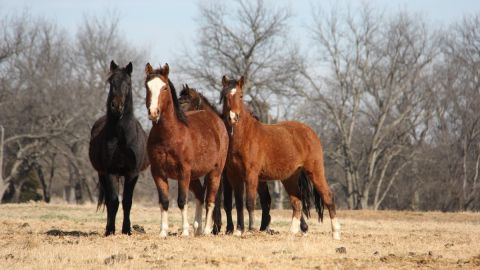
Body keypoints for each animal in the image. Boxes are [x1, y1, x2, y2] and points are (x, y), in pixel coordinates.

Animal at [89, 60, 149, 236]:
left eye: (127, 83)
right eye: (111, 82)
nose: (116, 106)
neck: (122, 137)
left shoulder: (132, 173)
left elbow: (127, 202)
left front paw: (127, 230)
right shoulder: (110, 172)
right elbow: (113, 201)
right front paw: (110, 230)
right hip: (102, 174)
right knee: (109, 201)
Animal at [143, 63, 228, 236]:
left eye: (164, 88)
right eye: (147, 86)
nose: (153, 112)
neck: (169, 135)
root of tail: (218, 121)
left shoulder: (183, 172)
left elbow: (182, 201)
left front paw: (184, 232)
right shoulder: (158, 173)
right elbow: (164, 201)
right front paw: (163, 232)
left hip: (215, 172)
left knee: (210, 199)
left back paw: (207, 230)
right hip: (194, 175)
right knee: (200, 194)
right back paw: (198, 228)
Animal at [219, 75, 340, 238]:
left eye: (241, 95)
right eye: (225, 96)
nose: (232, 117)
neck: (245, 136)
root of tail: (310, 132)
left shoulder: (251, 174)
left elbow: (249, 202)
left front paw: (251, 229)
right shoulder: (234, 176)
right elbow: (238, 203)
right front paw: (238, 230)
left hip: (315, 171)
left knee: (328, 197)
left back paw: (336, 233)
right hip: (290, 177)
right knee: (297, 203)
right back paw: (291, 233)